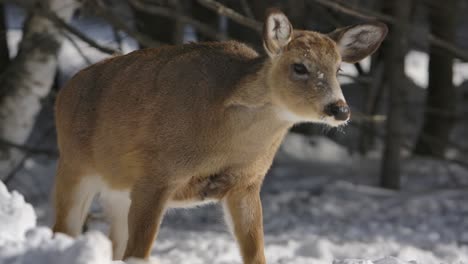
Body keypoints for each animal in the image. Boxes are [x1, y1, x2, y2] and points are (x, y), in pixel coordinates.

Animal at [52, 9, 388, 262]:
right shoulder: (156, 175)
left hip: (117, 190)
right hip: (74, 166)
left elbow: (256, 254)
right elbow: (138, 254)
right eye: (300, 66)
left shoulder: (246, 184)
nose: (340, 109)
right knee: (63, 229)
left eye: (338, 69)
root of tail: (65, 91)